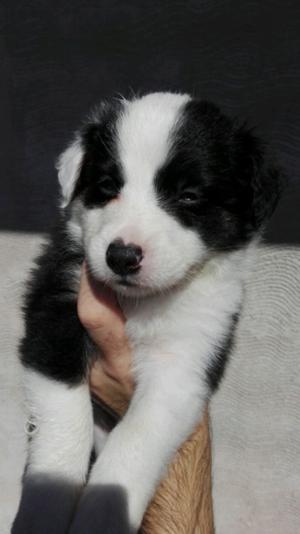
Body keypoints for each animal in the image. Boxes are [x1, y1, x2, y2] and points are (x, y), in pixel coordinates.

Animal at [11, 92, 282, 534]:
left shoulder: (185, 363)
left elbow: (136, 440)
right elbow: (66, 421)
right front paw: (46, 507)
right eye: (107, 187)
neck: (141, 302)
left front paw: (101, 516)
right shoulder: (54, 314)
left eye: (189, 196)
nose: (121, 256)